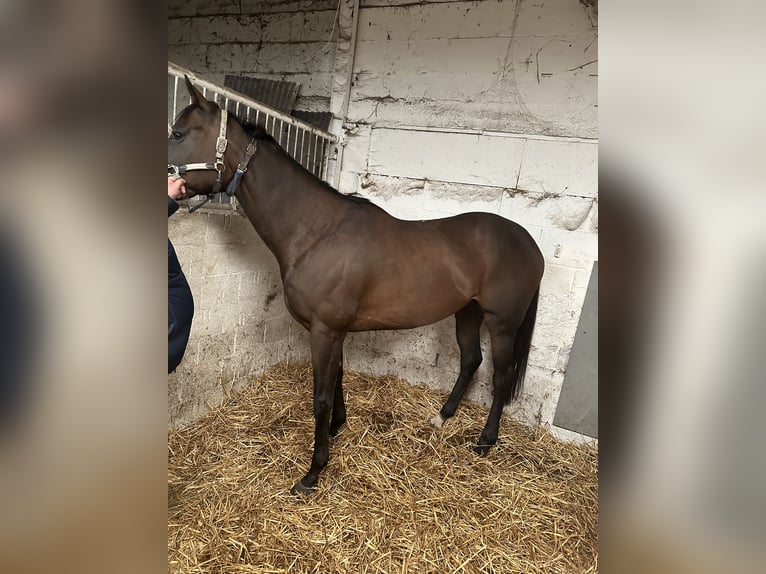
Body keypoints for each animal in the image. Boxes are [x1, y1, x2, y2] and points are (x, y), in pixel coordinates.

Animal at [171, 79, 548, 498]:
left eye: (178, 133)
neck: (318, 232)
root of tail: (530, 244)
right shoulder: (334, 332)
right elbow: (336, 380)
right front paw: (337, 429)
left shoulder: (324, 330)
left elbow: (320, 395)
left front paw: (313, 472)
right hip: (467, 311)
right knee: (470, 361)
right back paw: (442, 417)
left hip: (502, 322)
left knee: (500, 377)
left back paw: (485, 441)